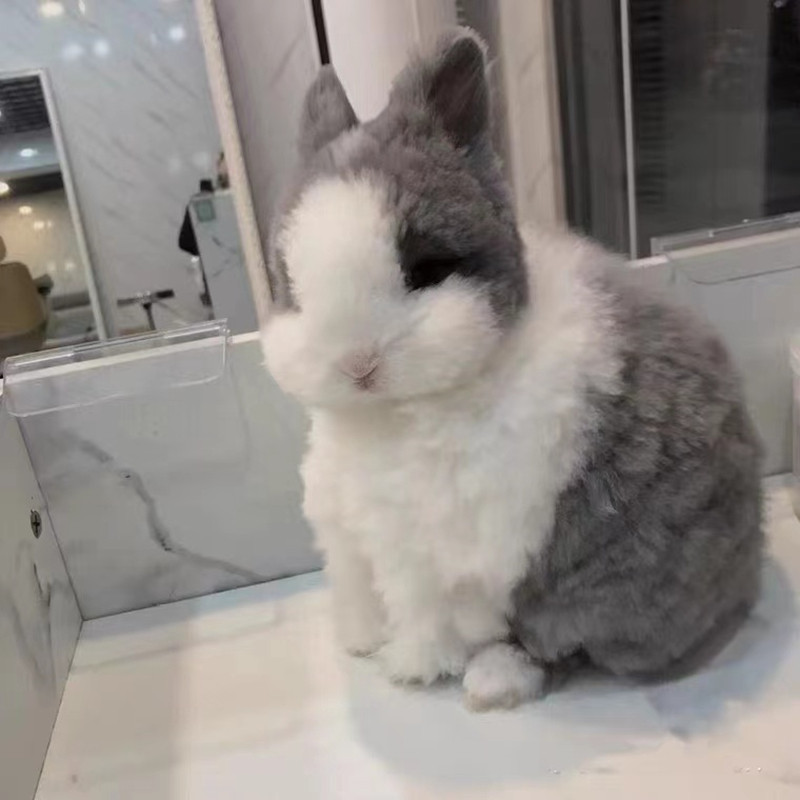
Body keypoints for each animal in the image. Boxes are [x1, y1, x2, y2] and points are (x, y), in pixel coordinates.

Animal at [261, 28, 764, 711]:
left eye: (426, 270)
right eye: (289, 283)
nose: (357, 363)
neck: (389, 414)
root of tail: (749, 569)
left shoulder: (415, 557)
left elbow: (420, 615)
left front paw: (410, 668)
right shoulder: (348, 540)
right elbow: (359, 592)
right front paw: (359, 642)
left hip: (588, 593)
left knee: (563, 647)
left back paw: (492, 682)